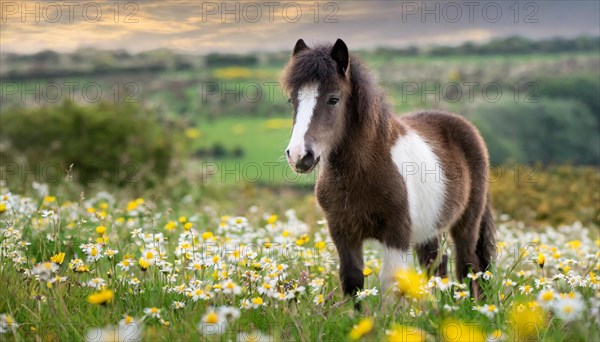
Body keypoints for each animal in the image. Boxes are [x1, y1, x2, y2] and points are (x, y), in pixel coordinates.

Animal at [284, 38, 494, 302]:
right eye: (292, 100)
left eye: (333, 99)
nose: (300, 156)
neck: (359, 173)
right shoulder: (343, 233)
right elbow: (352, 280)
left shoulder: (396, 234)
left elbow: (390, 283)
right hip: (428, 231)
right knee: (437, 269)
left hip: (467, 224)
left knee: (469, 267)